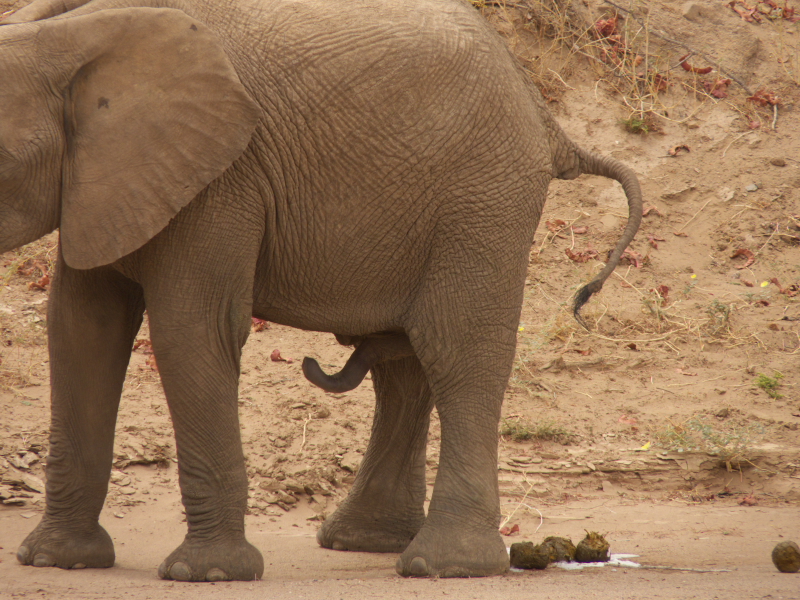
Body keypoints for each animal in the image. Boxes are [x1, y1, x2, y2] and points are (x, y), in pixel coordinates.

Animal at [0, 0, 642, 582]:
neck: (75, 35)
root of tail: (544, 114)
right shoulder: (101, 181)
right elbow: (82, 328)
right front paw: (57, 560)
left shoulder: (221, 182)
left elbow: (191, 330)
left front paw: (206, 574)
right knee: (405, 366)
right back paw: (366, 541)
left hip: (484, 198)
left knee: (455, 351)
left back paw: (444, 565)